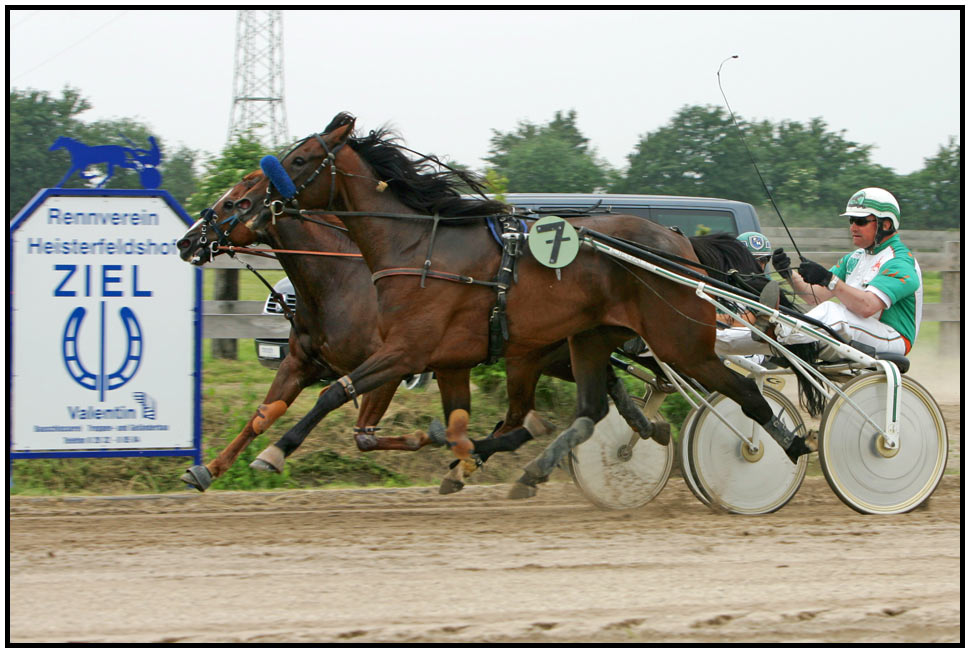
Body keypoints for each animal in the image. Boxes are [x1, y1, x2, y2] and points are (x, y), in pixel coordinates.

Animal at [217, 113, 808, 500]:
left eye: (300, 159)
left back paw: (787, 445)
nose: (250, 204)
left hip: (679, 340)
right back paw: (531, 468)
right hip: (585, 340)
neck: (418, 249)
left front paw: (273, 452)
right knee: (588, 410)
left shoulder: (405, 351)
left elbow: (332, 394)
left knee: (746, 393)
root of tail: (680, 243)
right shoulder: (441, 357)